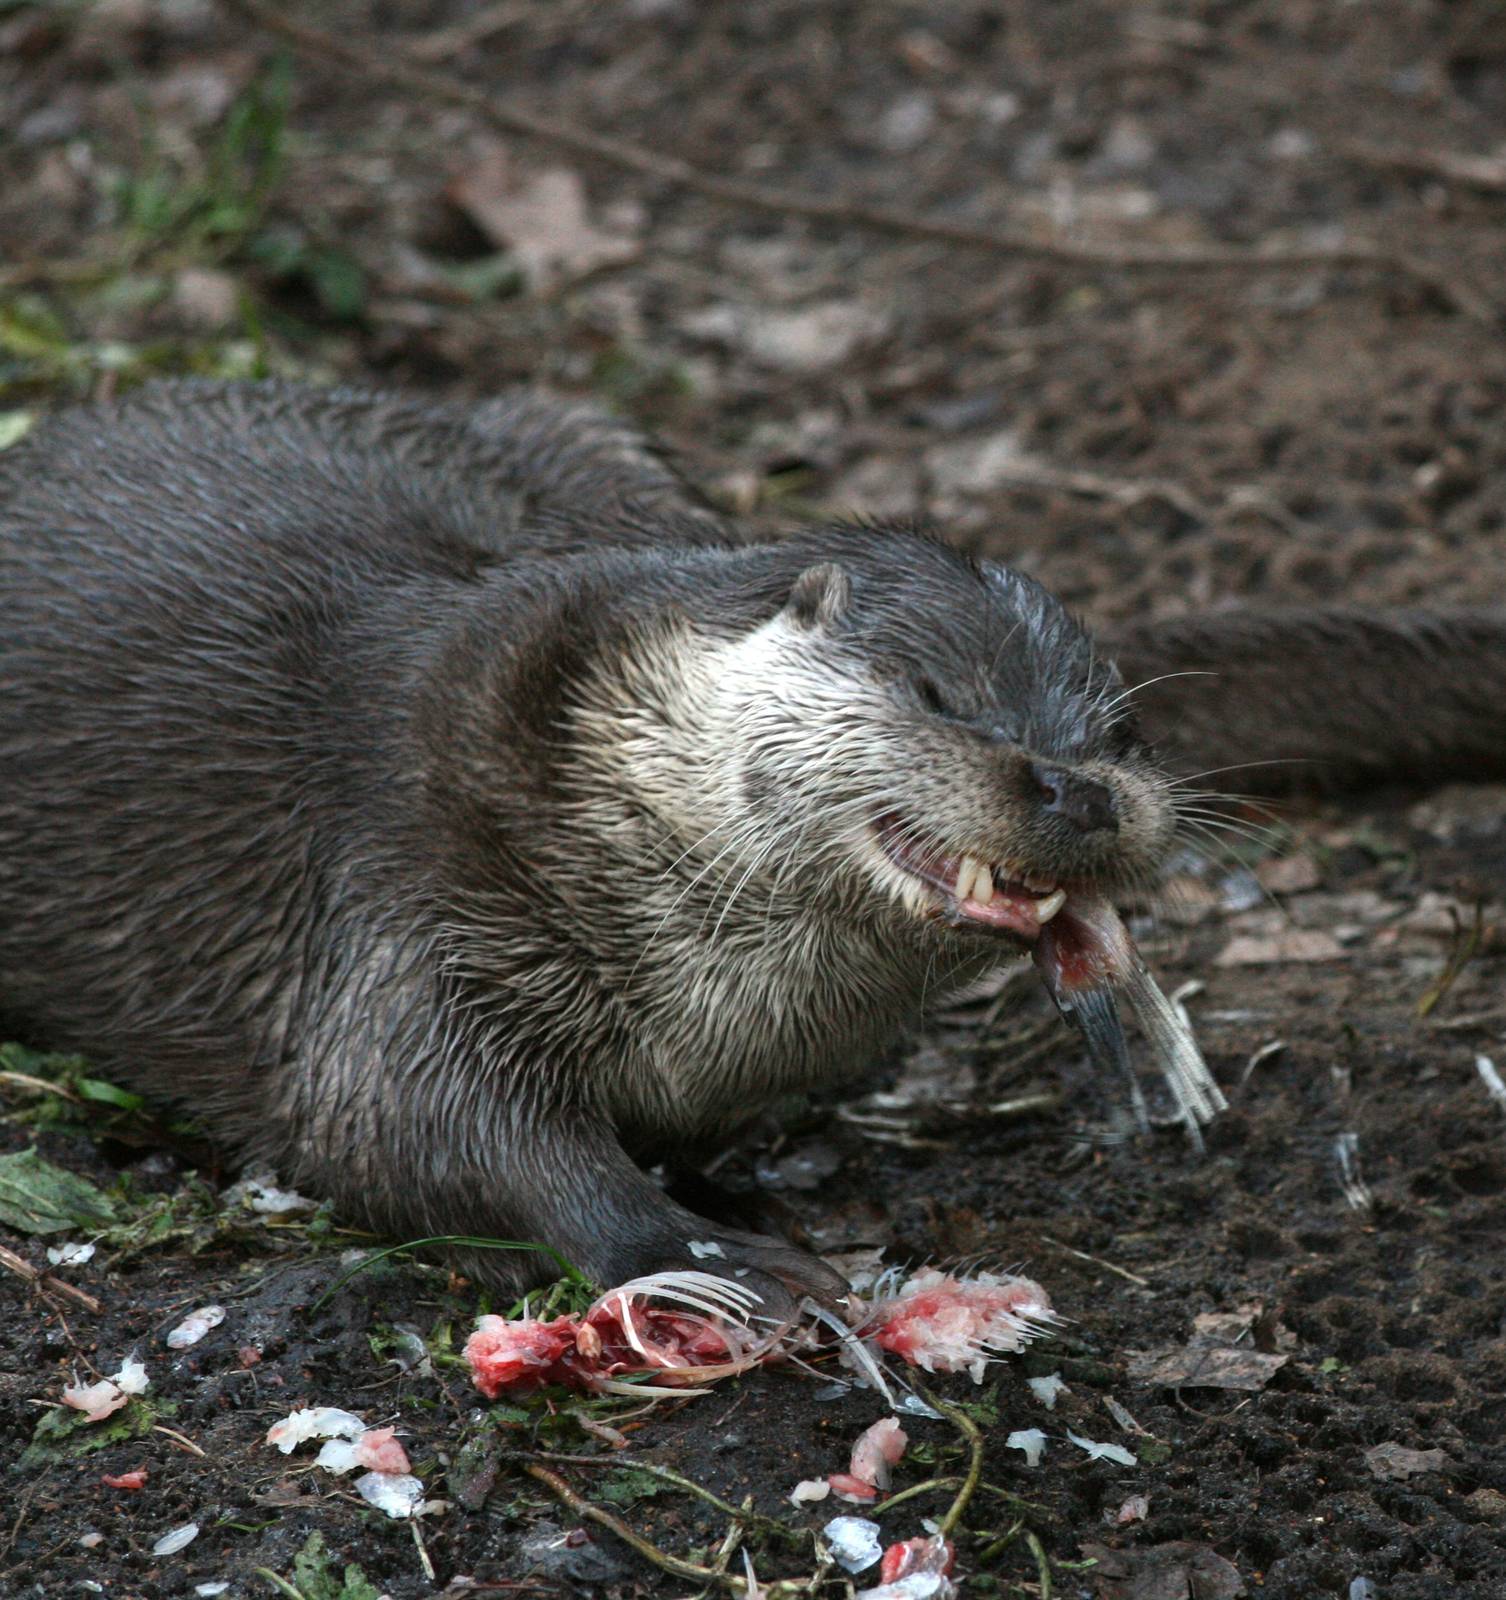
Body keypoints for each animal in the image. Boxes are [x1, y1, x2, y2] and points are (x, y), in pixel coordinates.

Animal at [2, 382, 1503, 1309]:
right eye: (937, 694)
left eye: (1123, 728)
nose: (1079, 790)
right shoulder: (405, 889)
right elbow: (417, 1120)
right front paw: (709, 1252)